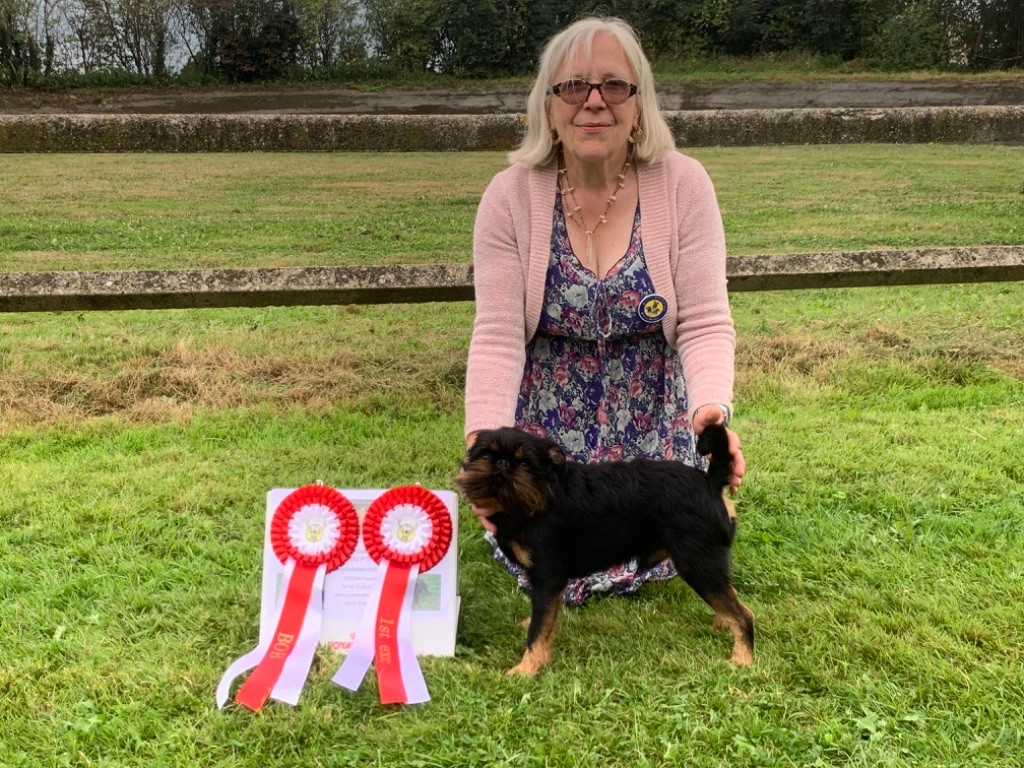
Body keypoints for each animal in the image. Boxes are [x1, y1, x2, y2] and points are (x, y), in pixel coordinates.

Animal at [454, 424, 754, 676]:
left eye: (525, 463)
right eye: (485, 455)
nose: (502, 463)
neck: (537, 498)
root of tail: (710, 482)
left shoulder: (548, 578)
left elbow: (538, 630)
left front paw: (528, 668)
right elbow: (542, 619)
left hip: (697, 564)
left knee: (744, 614)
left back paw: (743, 659)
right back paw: (724, 625)